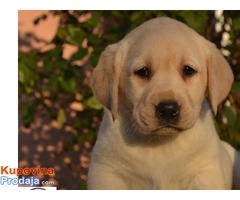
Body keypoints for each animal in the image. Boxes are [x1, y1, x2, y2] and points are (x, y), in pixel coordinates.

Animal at [88, 17, 240, 189]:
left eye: (188, 70)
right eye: (143, 72)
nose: (168, 109)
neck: (159, 143)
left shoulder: (205, 172)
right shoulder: (107, 172)